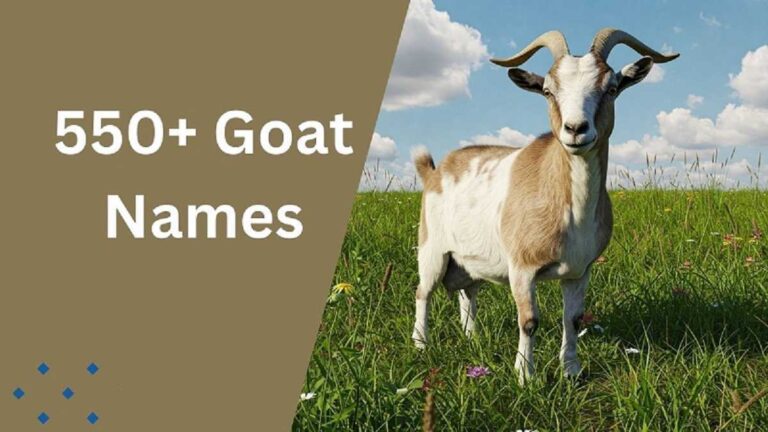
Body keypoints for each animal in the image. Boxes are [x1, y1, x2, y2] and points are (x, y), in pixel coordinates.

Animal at [411, 29, 678, 384]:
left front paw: (572, 371)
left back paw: (473, 338)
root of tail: (435, 170)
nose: (576, 129)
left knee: (469, 293)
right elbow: (529, 321)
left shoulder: (580, 270)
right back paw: (421, 345)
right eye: (548, 91)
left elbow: (573, 319)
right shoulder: (522, 267)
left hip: (469, 261)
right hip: (433, 248)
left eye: (611, 88)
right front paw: (525, 376)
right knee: (423, 292)